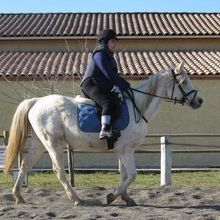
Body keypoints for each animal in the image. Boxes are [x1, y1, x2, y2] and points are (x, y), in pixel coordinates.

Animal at [3, 62, 203, 206]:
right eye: (184, 82)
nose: (199, 101)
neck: (137, 107)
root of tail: (36, 101)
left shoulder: (123, 150)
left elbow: (124, 175)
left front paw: (126, 198)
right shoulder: (126, 150)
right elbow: (132, 175)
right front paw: (112, 196)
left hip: (39, 143)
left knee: (25, 165)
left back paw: (18, 196)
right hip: (53, 144)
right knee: (59, 171)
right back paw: (77, 199)